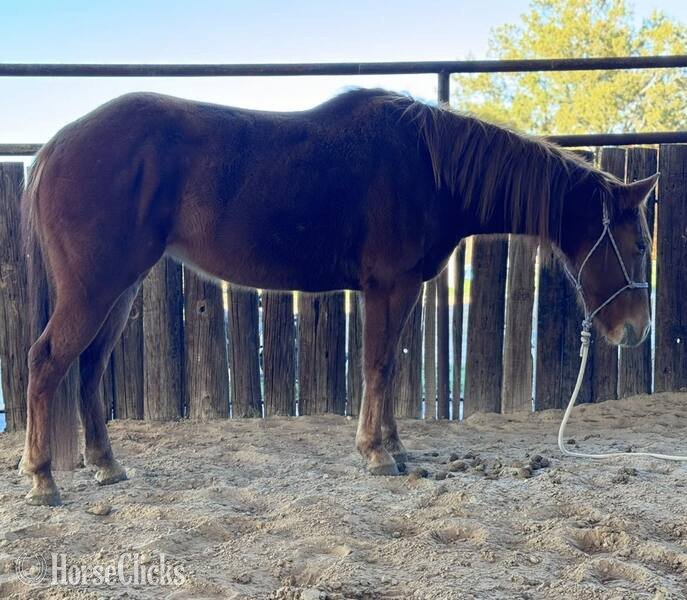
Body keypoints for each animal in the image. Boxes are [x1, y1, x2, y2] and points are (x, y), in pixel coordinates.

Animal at [20, 88, 657, 506]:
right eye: (638, 244)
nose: (636, 329)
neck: (430, 169)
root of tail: (55, 147)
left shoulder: (402, 290)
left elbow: (390, 366)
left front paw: (394, 447)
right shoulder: (388, 287)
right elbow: (377, 365)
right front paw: (376, 453)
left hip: (120, 288)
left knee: (90, 368)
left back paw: (107, 467)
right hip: (96, 287)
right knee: (47, 362)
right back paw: (43, 479)